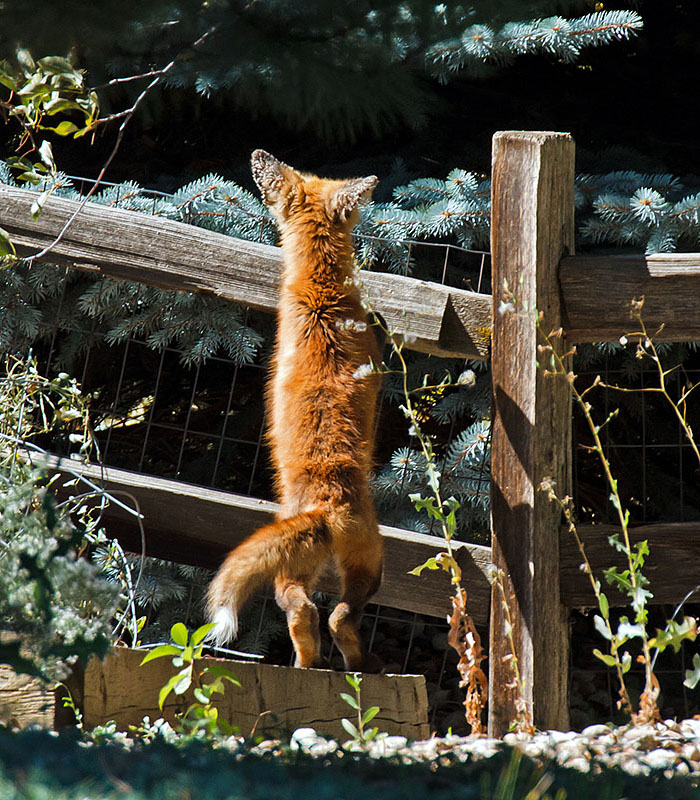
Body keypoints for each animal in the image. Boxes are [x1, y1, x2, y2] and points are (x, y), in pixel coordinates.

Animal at [205, 148, 386, 668]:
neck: (319, 290)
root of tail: (326, 503)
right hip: (367, 565)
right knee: (332, 614)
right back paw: (344, 665)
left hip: (321, 569)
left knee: (312, 613)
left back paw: (318, 663)